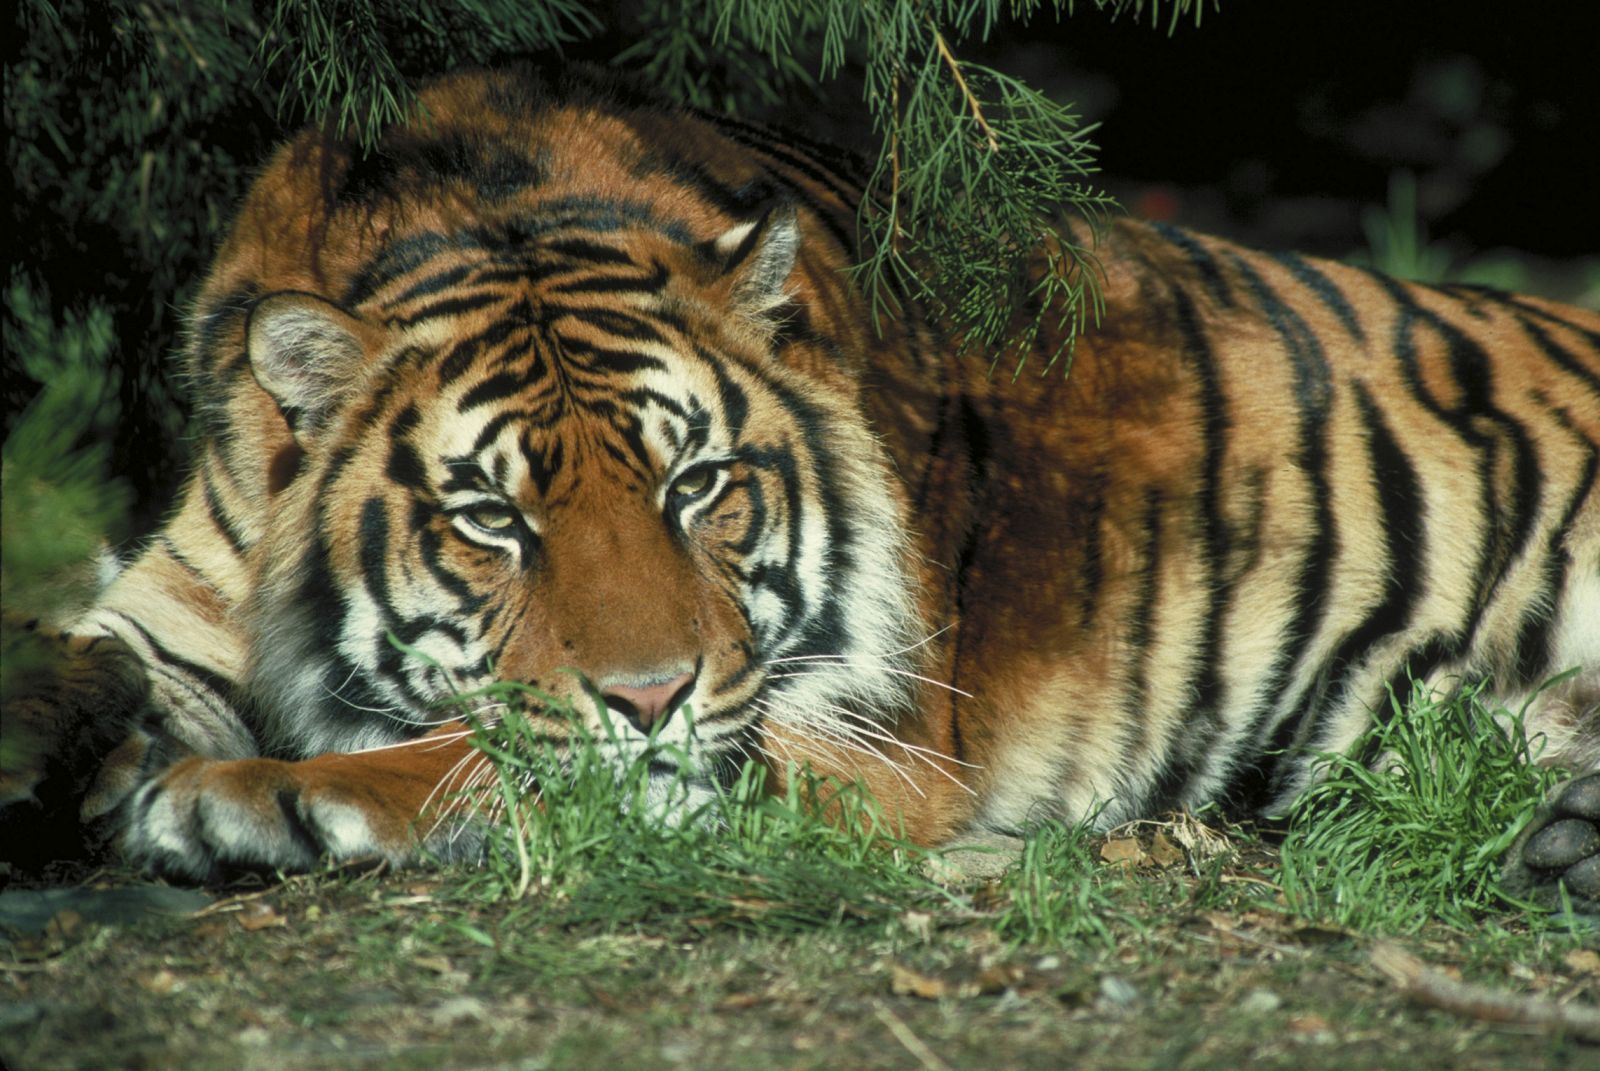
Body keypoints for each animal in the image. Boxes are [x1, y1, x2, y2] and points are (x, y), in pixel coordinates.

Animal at [2, 65, 1596, 908]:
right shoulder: (169, 609)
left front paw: (229, 798)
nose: (650, 691)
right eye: (494, 520)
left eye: (698, 482)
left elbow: (492, 754)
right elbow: (68, 668)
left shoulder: (856, 738)